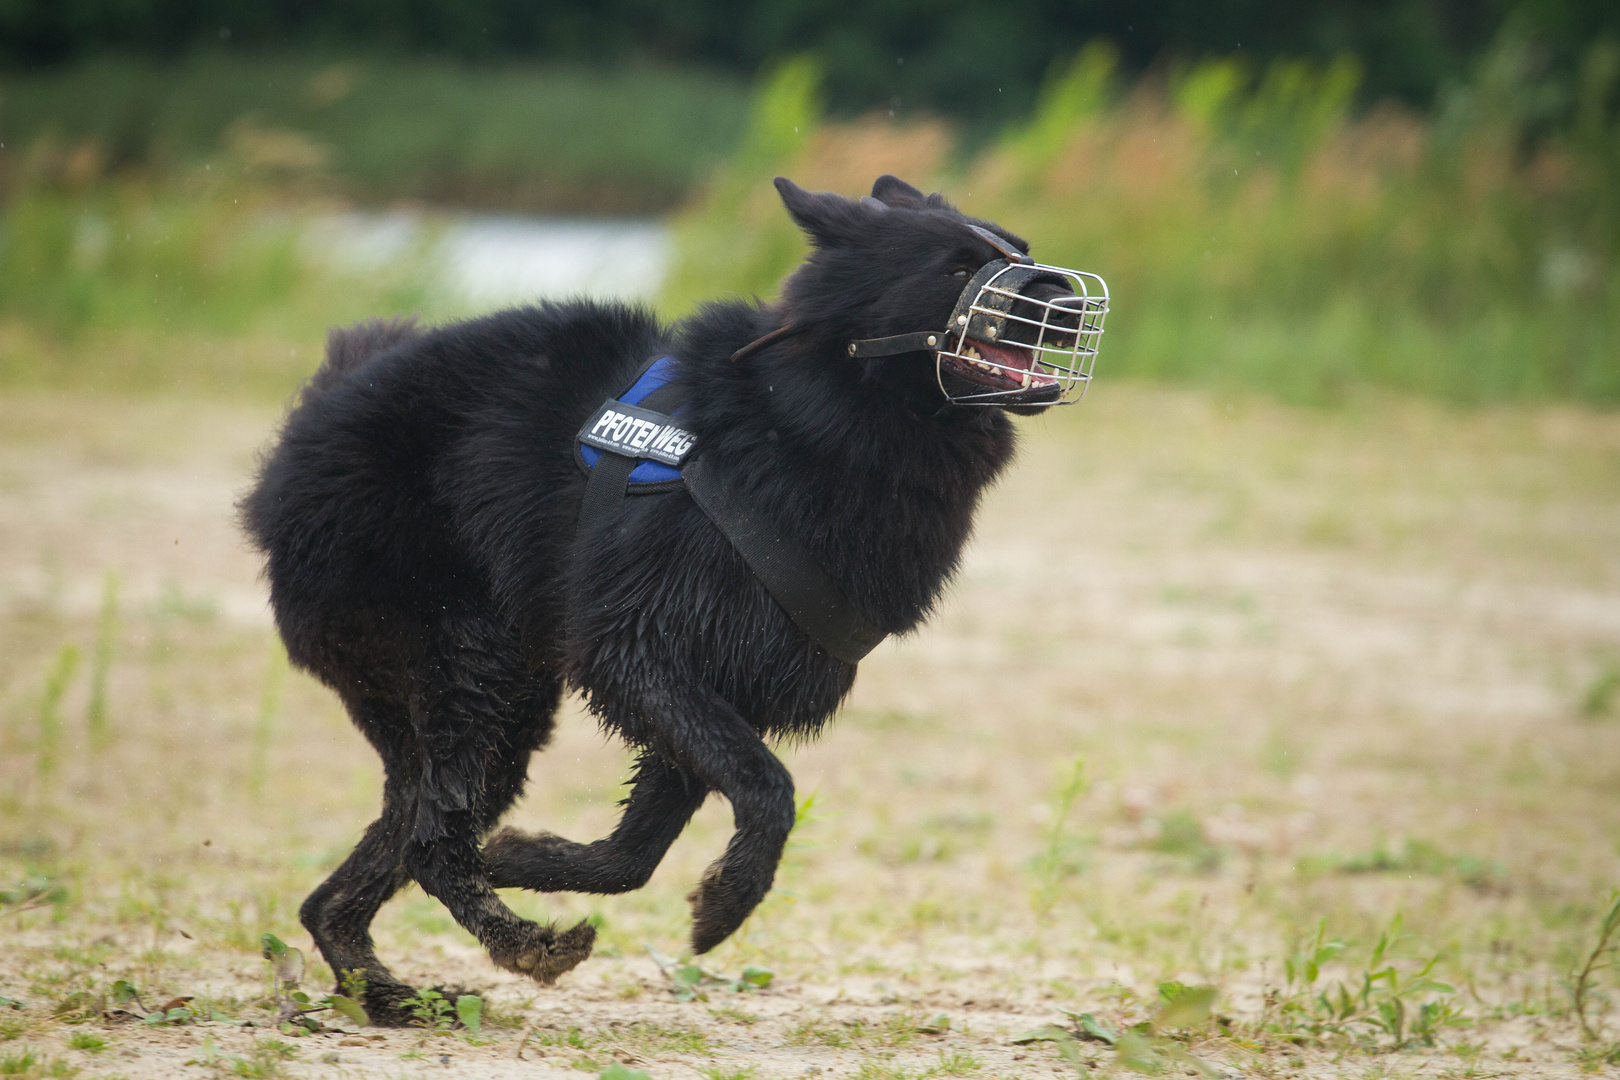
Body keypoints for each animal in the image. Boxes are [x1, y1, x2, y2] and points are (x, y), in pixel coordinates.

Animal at [239, 175, 1101, 1023]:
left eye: (1019, 250)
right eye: (957, 267)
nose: (1071, 300)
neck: (803, 421)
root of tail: (301, 437)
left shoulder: (722, 684)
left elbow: (637, 852)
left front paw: (528, 856)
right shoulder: (640, 653)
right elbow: (766, 788)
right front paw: (728, 901)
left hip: (491, 709)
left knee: (362, 873)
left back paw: (388, 992)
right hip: (469, 665)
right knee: (429, 842)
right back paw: (523, 944)